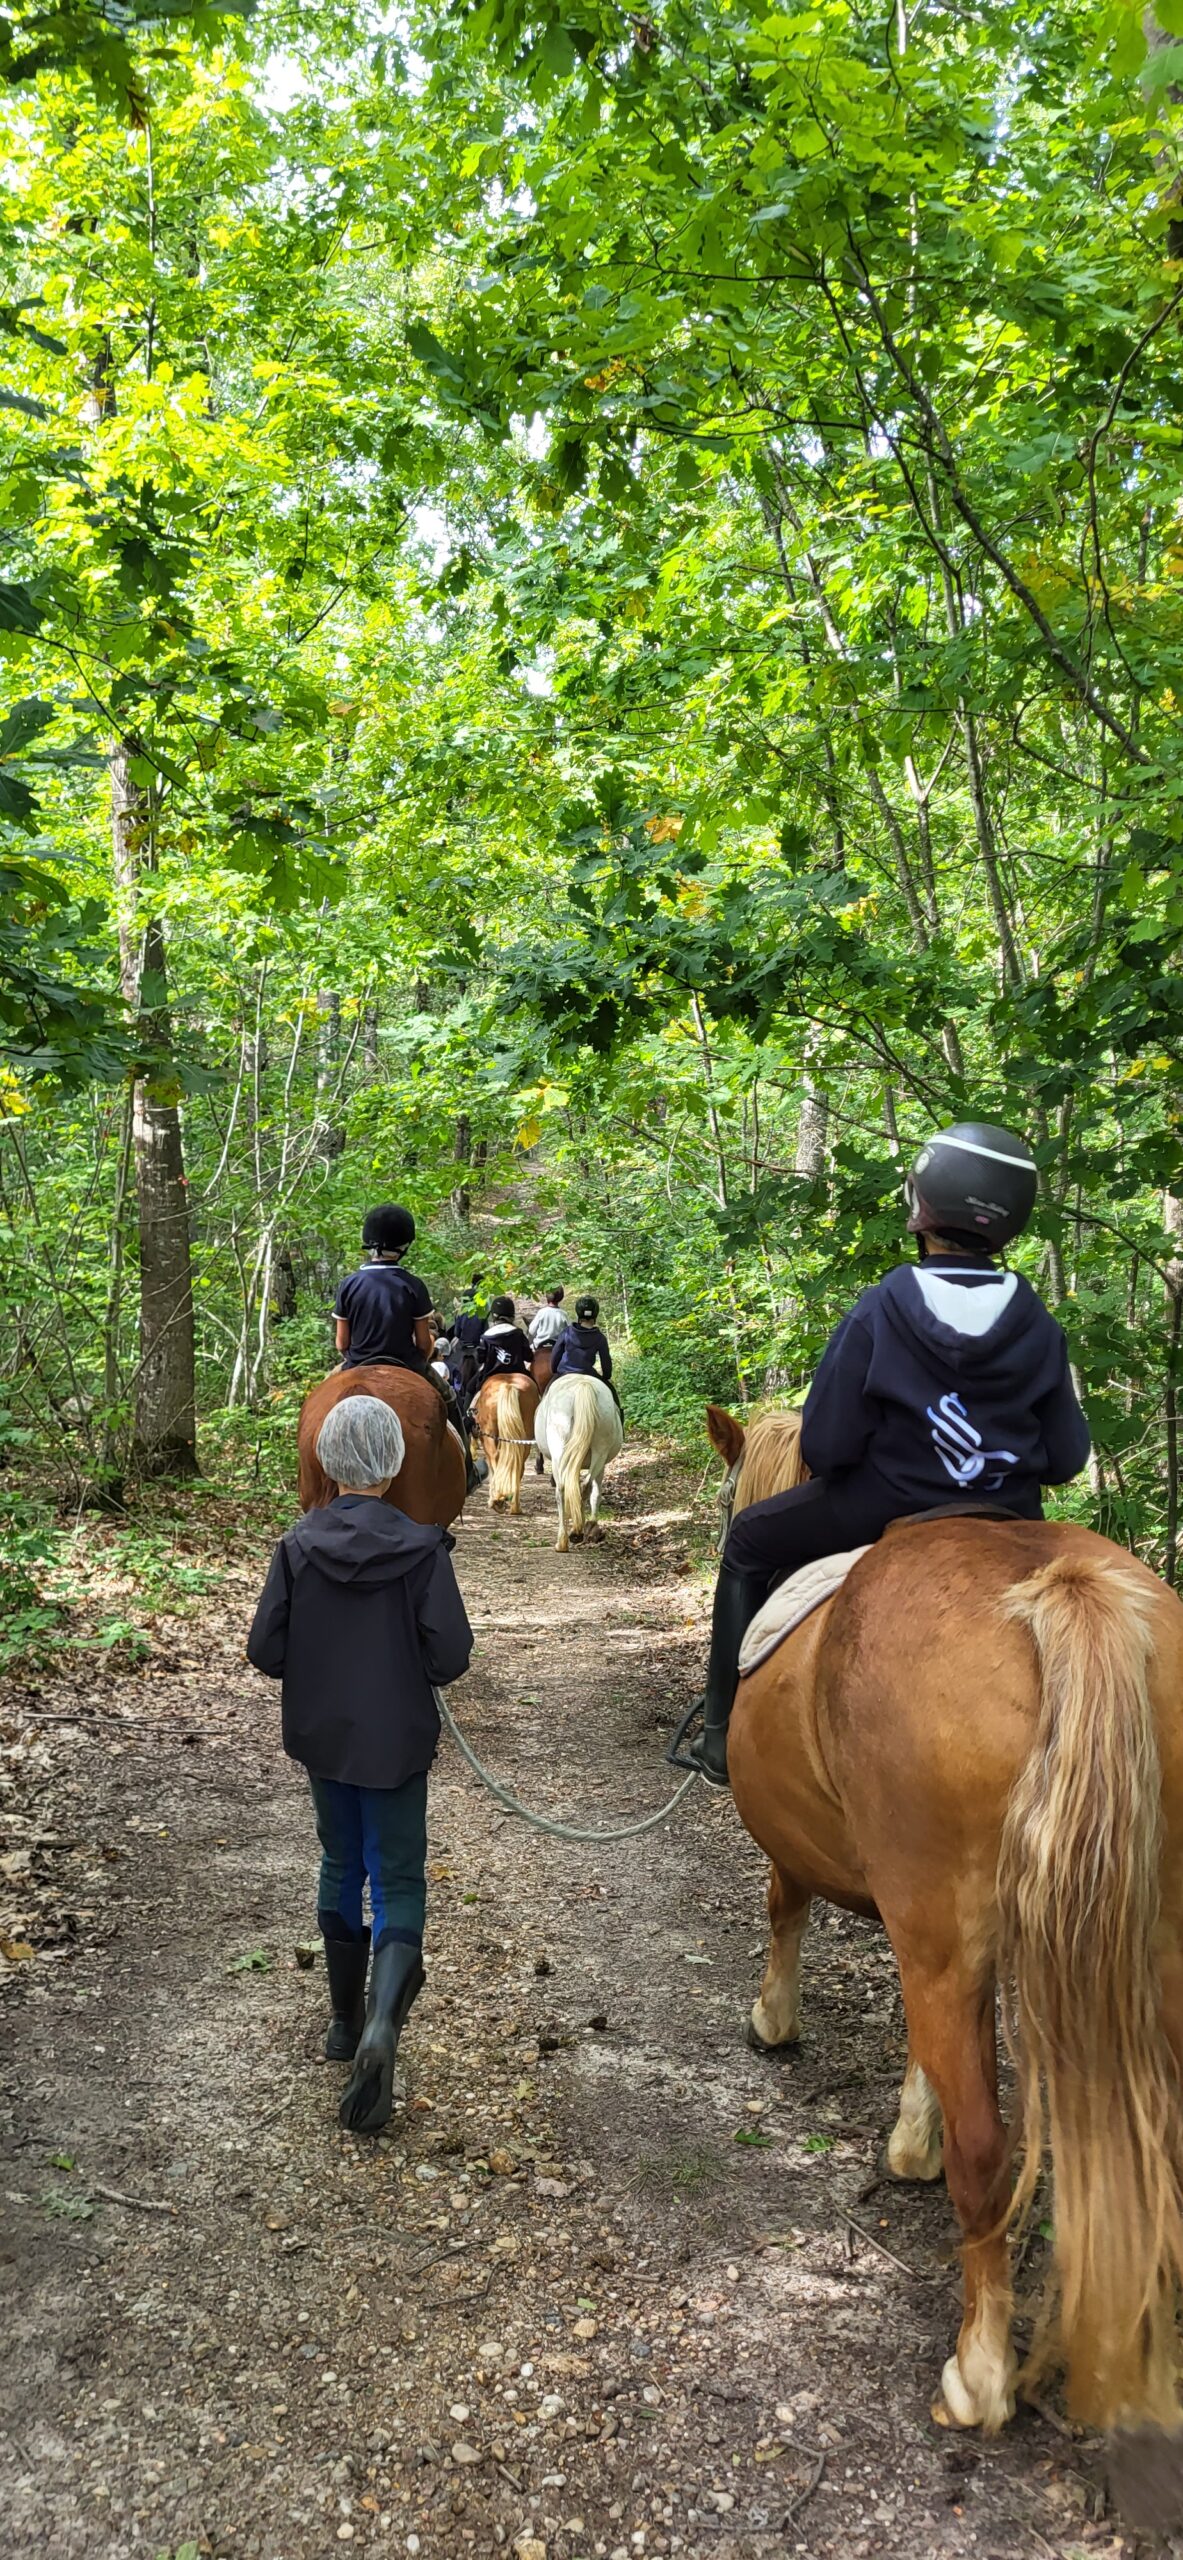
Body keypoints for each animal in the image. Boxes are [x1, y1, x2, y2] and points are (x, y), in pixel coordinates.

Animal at [535, 1372, 624, 1546]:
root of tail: (582, 1385)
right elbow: (592, 1491)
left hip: (560, 1451)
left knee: (562, 1489)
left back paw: (564, 1539)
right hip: (600, 1450)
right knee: (585, 1486)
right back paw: (582, 1530)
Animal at [706, 1402, 1183, 2437]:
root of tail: (1062, 1595)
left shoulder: (830, 1871)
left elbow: (783, 1909)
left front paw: (774, 2022)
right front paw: (908, 2134)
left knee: (986, 2153)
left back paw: (978, 2372)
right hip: (1152, 1940)